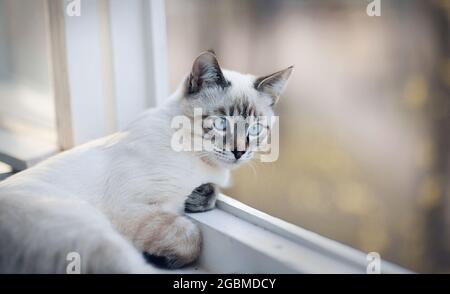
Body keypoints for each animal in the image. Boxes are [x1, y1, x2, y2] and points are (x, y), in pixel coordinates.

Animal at [0, 51, 292, 274]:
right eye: (221, 124)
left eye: (255, 129)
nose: (239, 152)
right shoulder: (130, 207)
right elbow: (192, 238)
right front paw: (164, 256)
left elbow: (208, 195)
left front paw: (198, 197)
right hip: (95, 235)